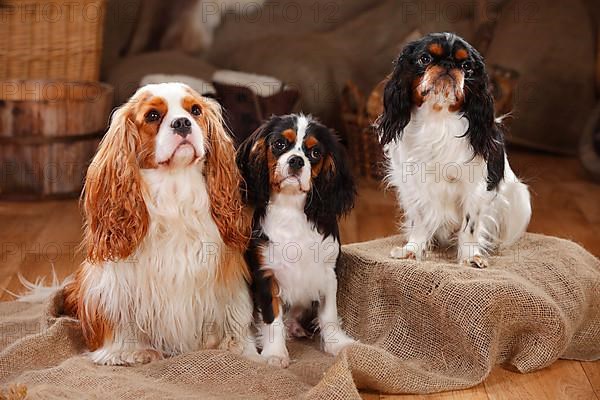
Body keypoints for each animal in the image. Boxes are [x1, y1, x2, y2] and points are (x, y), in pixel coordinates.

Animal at [61, 83, 255, 366]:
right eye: (153, 116)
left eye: (195, 110)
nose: (182, 123)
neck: (174, 185)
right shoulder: (118, 284)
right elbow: (120, 316)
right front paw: (126, 351)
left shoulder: (223, 272)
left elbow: (232, 310)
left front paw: (235, 345)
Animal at [236, 114, 356, 368]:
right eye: (279, 144)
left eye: (315, 153)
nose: (296, 161)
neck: (290, 208)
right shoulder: (266, 274)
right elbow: (272, 318)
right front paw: (275, 354)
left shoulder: (328, 271)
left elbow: (329, 313)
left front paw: (337, 345)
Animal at [378, 32, 532, 268]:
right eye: (425, 59)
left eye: (467, 66)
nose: (448, 65)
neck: (438, 118)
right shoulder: (413, 184)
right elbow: (419, 220)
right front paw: (413, 249)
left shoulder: (475, 187)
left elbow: (470, 225)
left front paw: (470, 256)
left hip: (521, 200)